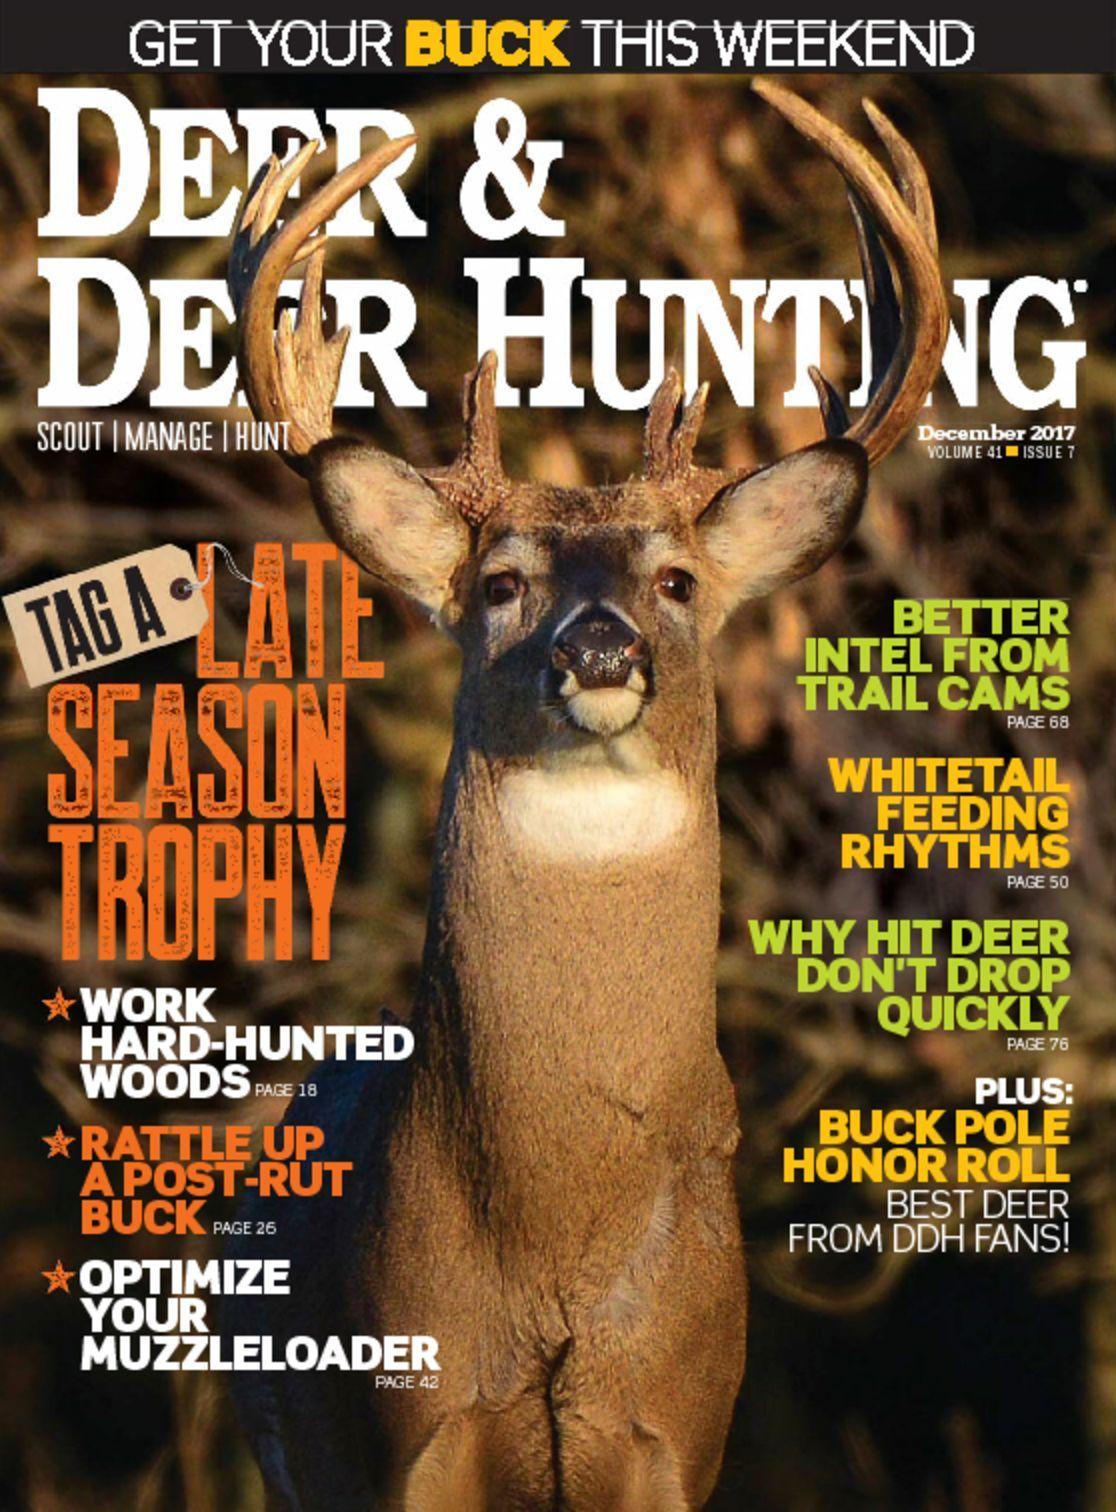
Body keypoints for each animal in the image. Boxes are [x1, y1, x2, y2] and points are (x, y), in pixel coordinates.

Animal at [222, 81, 947, 1511]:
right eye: (501, 581)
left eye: (675, 579)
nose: (599, 647)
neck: (554, 1235)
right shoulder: (404, 1433)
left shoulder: (679, 1424)